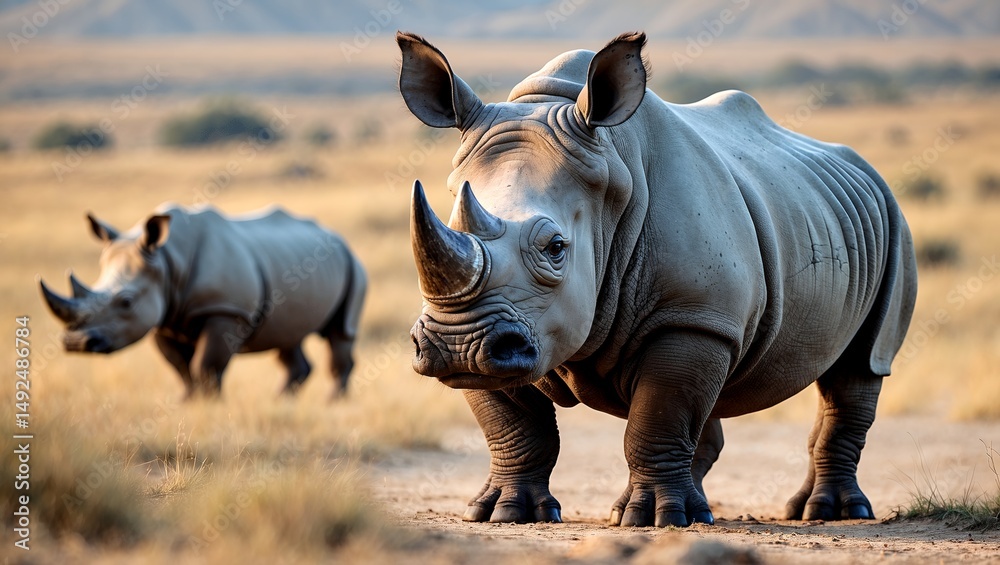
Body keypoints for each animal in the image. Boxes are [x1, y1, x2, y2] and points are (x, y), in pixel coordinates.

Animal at [39, 204, 366, 398]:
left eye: (126, 302)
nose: (76, 344)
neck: (167, 261)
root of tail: (337, 237)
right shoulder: (164, 318)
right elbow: (181, 367)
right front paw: (187, 402)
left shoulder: (225, 311)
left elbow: (206, 364)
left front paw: (210, 405)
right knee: (287, 337)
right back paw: (281, 402)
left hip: (354, 266)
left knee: (340, 333)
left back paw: (333, 403)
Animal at [397, 31, 917, 527]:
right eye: (448, 226)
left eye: (555, 248)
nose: (455, 343)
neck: (612, 169)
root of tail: (861, 166)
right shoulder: (501, 336)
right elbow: (514, 427)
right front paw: (503, 513)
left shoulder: (691, 316)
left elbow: (659, 415)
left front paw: (657, 520)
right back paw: (701, 510)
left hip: (893, 220)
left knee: (860, 366)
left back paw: (830, 512)